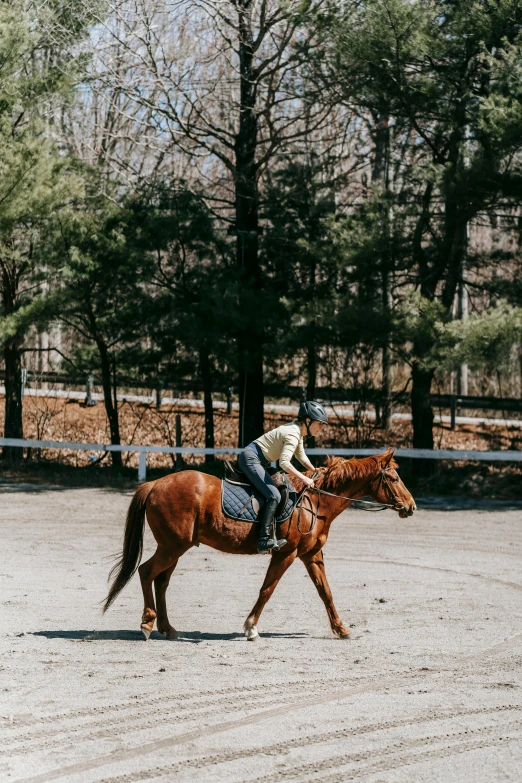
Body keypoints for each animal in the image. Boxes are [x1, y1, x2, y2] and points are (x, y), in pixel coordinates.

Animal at [102, 448, 414, 644]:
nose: (411, 506)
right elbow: (267, 589)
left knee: (161, 580)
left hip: (176, 547)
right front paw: (250, 628)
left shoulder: (312, 555)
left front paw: (341, 629)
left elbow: (325, 592)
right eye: (394, 478)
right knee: (146, 572)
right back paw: (147, 624)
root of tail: (154, 484)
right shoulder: (286, 553)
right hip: (172, 546)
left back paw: (167, 627)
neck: (315, 502)